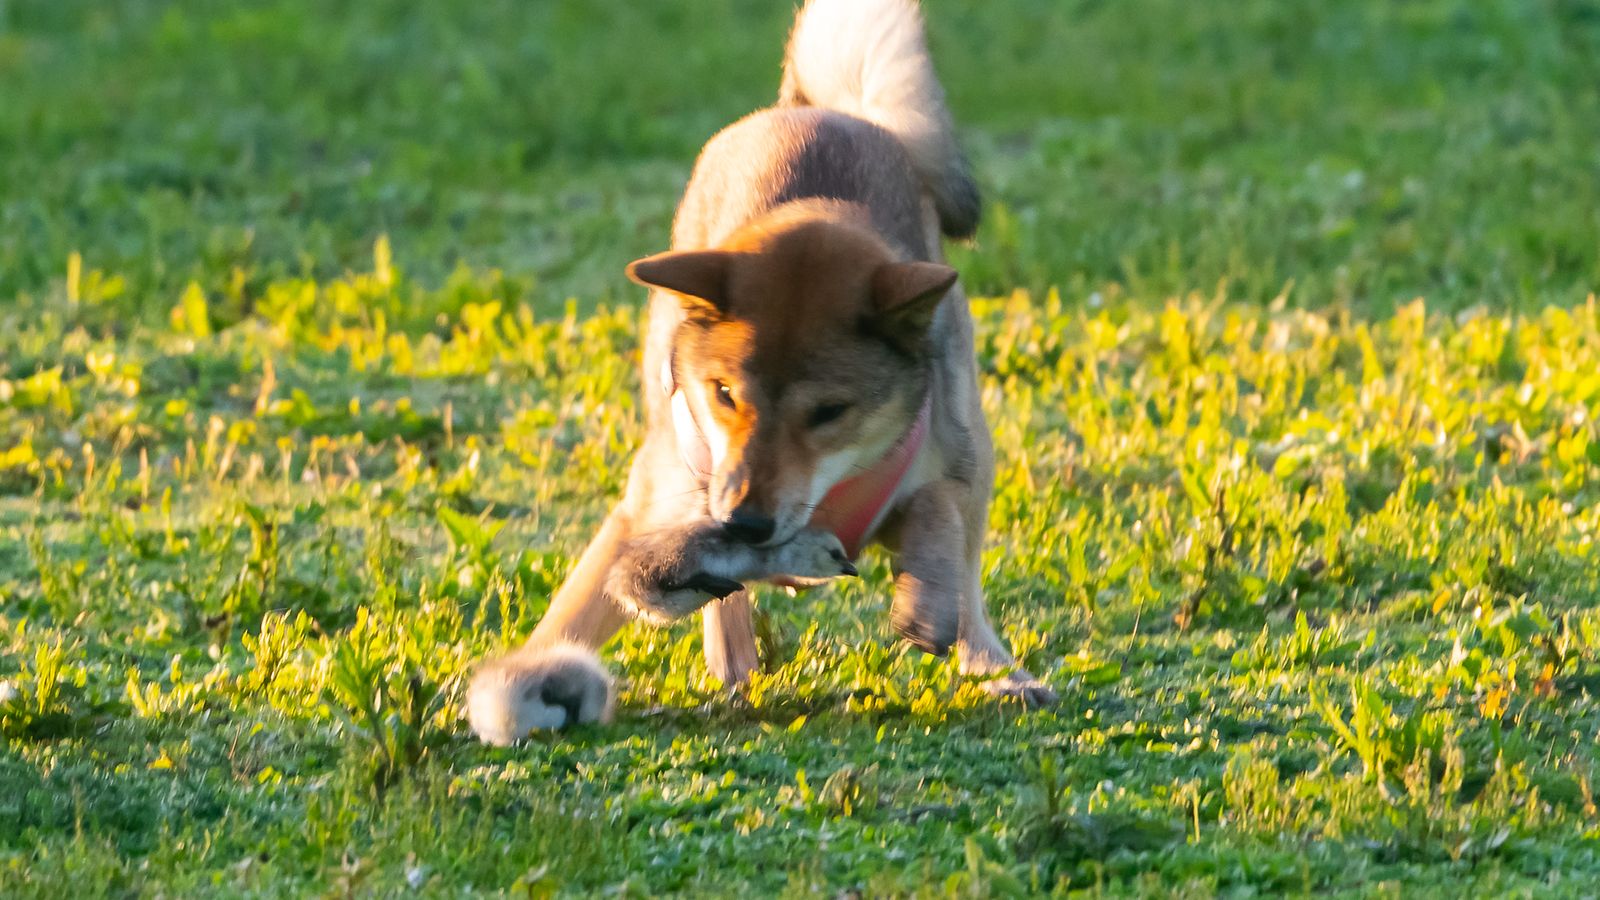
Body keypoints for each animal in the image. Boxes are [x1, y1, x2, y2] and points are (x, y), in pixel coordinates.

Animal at [467, 0, 1056, 743]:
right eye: (723, 394)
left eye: (829, 412)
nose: (746, 524)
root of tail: (818, 109)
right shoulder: (657, 508)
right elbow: (577, 612)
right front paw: (534, 680)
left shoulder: (938, 458)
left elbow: (935, 514)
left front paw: (927, 596)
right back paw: (735, 664)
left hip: (970, 426)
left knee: (970, 569)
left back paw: (997, 667)